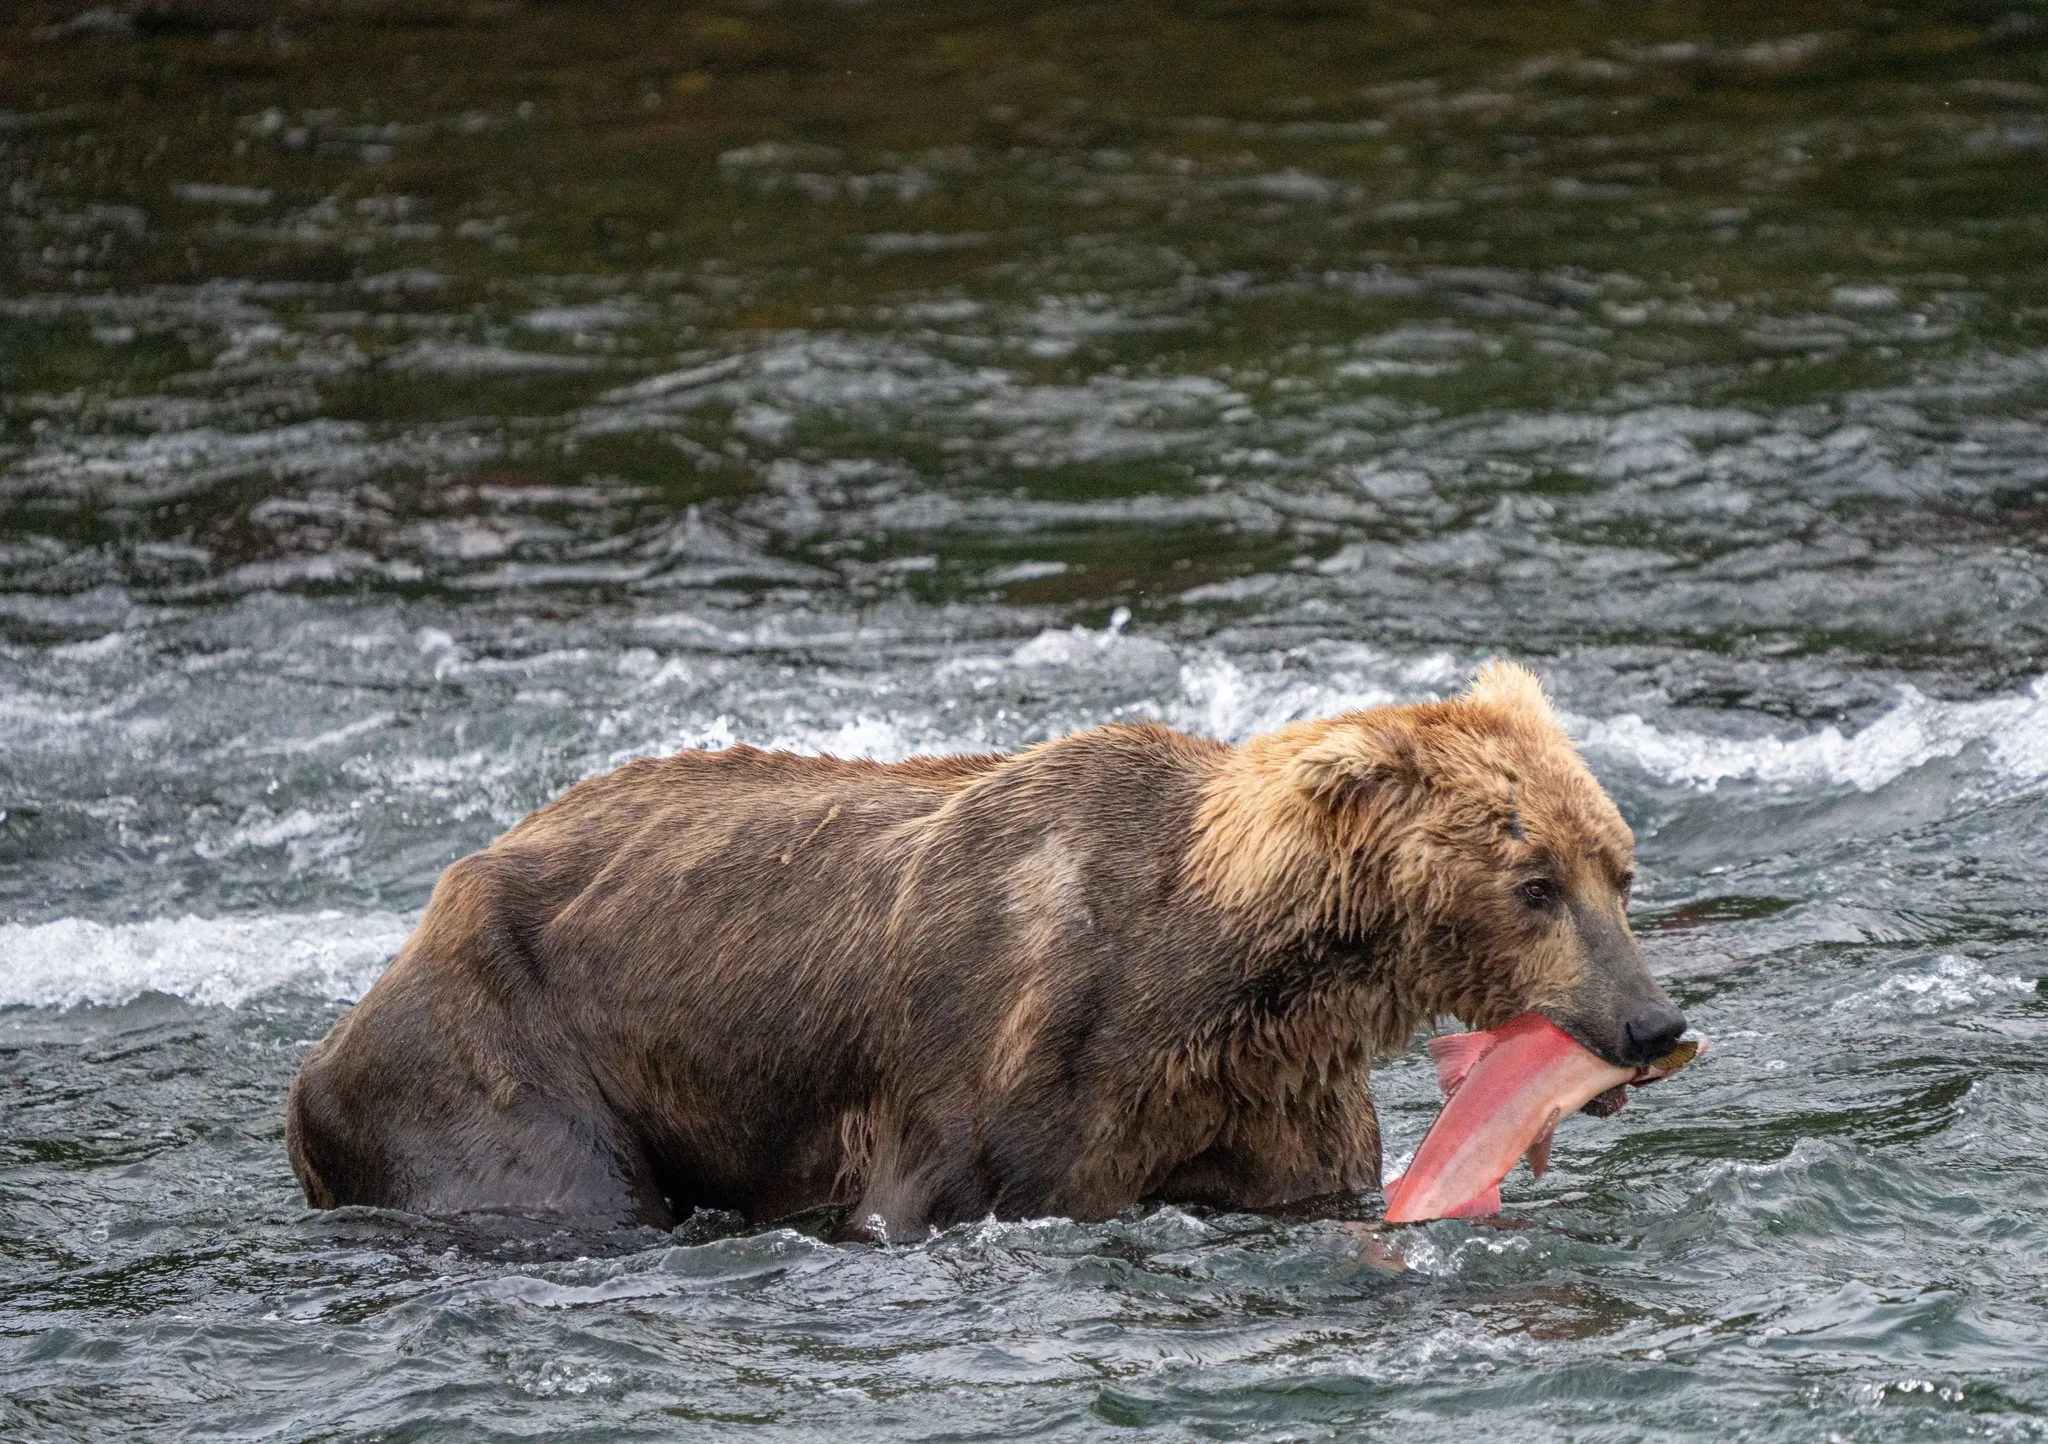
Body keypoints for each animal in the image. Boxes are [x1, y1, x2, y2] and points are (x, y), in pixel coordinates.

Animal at [284, 659, 1679, 1237]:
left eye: (1618, 868)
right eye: (1531, 881)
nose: (1651, 1023)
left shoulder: (1266, 1096)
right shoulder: (1002, 1078)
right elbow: (941, 1191)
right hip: (497, 1053)